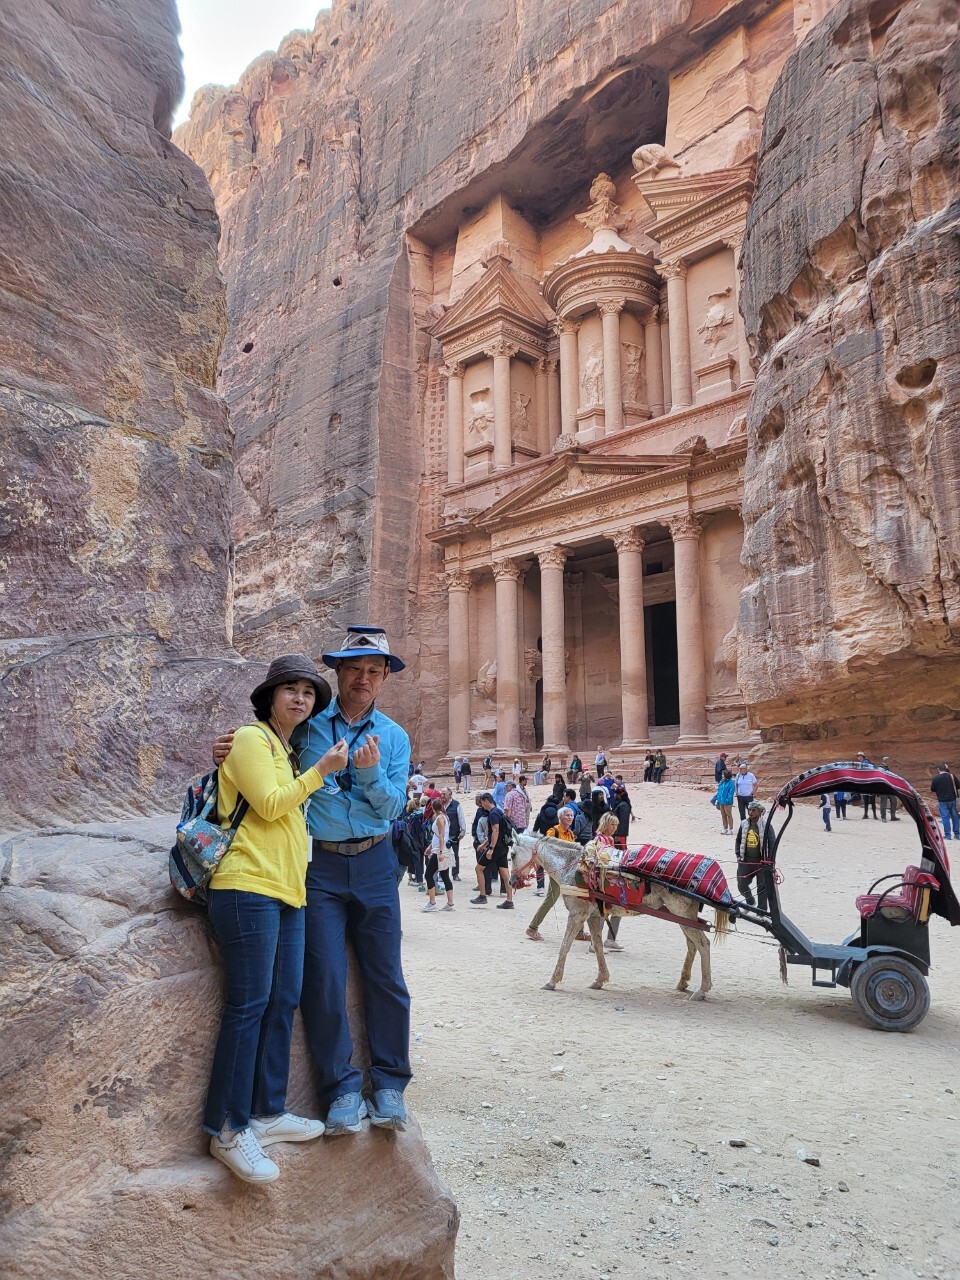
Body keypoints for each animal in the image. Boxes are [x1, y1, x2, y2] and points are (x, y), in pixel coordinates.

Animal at [512, 830, 731, 1000]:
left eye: (512, 854)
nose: (514, 880)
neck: (573, 865)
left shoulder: (577, 914)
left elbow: (565, 947)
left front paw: (552, 981)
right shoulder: (594, 916)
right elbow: (598, 947)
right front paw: (600, 979)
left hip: (682, 913)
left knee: (703, 945)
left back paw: (702, 990)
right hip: (683, 917)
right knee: (692, 945)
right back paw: (683, 982)